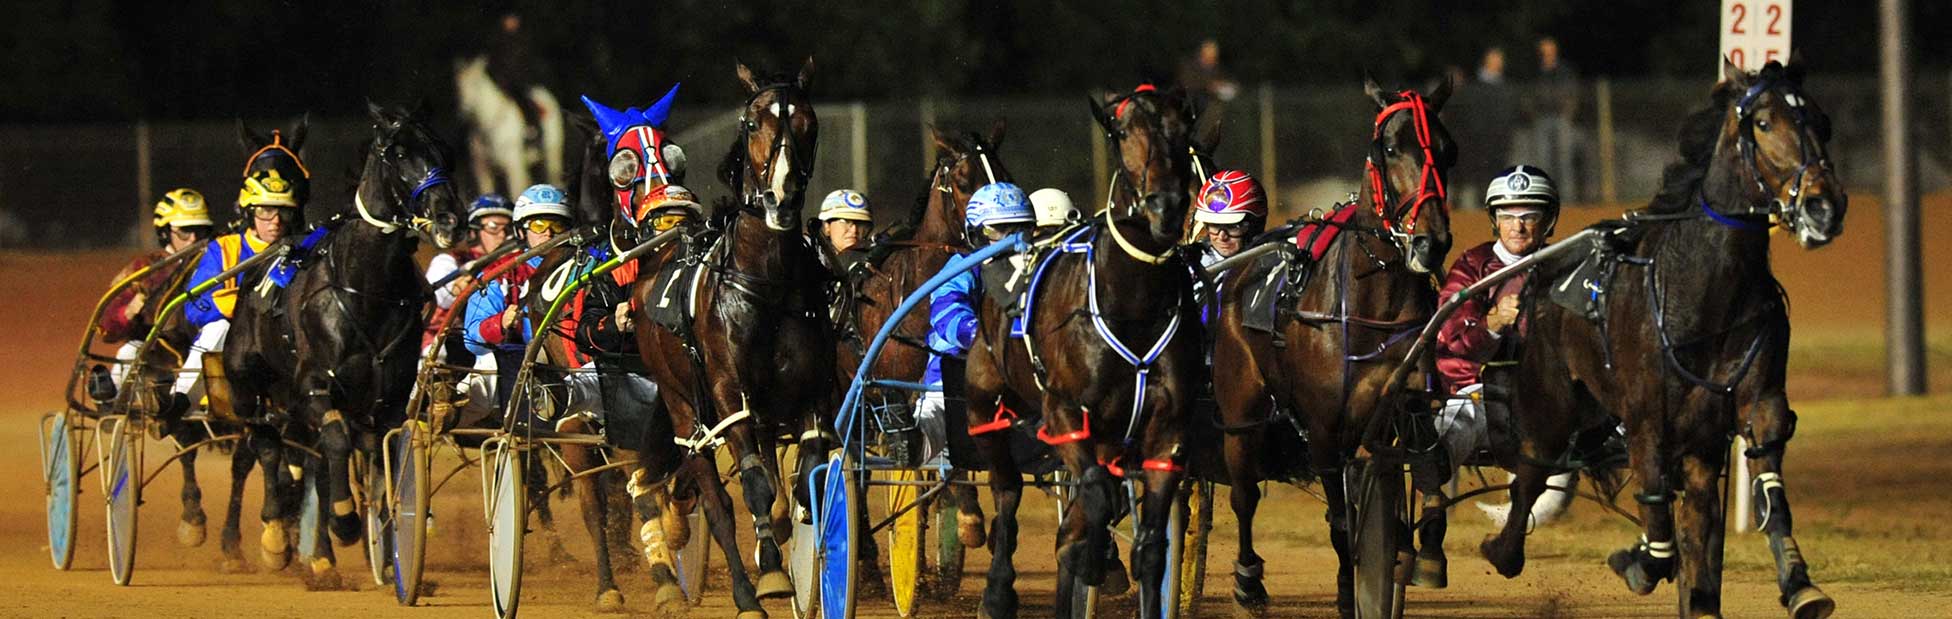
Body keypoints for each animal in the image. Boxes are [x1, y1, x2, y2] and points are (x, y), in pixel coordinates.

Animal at [224, 103, 464, 581]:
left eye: (445, 151)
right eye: (398, 153)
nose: (450, 218)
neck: (367, 289)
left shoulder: (388, 401)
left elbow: (381, 465)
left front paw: (390, 553)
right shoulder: (315, 386)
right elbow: (332, 444)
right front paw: (346, 519)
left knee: (310, 459)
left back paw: (320, 554)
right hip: (246, 382)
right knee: (266, 443)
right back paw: (277, 534)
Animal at [632, 57, 831, 617]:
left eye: (809, 123)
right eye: (751, 122)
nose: (782, 198)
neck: (766, 283)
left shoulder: (809, 394)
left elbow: (805, 474)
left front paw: (789, 540)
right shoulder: (728, 395)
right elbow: (753, 487)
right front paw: (772, 577)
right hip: (681, 403)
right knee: (714, 499)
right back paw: (744, 591)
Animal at [960, 85, 1202, 617]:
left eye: (1184, 129)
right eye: (1122, 132)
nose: (1167, 205)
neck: (1131, 300)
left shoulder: (1167, 434)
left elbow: (1149, 547)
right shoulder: (1064, 413)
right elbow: (1093, 494)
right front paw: (1088, 556)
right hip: (983, 398)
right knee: (1007, 489)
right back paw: (998, 590)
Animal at [1210, 78, 1460, 617]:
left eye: (1448, 149)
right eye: (1390, 148)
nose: (1431, 242)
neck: (1374, 302)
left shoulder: (1407, 403)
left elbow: (1432, 464)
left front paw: (1424, 553)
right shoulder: (1325, 426)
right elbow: (1341, 519)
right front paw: (1349, 590)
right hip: (1241, 407)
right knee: (1243, 492)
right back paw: (1249, 581)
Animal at [1475, 57, 1842, 617]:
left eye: (1822, 122)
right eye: (1763, 123)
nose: (1825, 207)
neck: (1705, 289)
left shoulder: (1756, 402)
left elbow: (1766, 487)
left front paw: (1800, 583)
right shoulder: (1646, 413)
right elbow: (1656, 527)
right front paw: (1638, 561)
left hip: (1695, 441)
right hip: (1551, 405)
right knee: (1532, 473)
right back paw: (1503, 549)